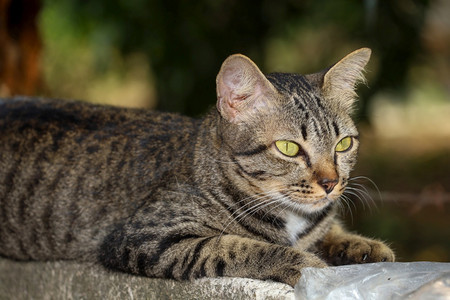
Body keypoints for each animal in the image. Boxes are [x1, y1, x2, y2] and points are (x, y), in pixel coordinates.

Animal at [0, 48, 394, 288]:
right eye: (289, 148)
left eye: (343, 144)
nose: (331, 183)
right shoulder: (145, 237)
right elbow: (240, 246)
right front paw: (310, 266)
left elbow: (330, 231)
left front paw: (363, 246)